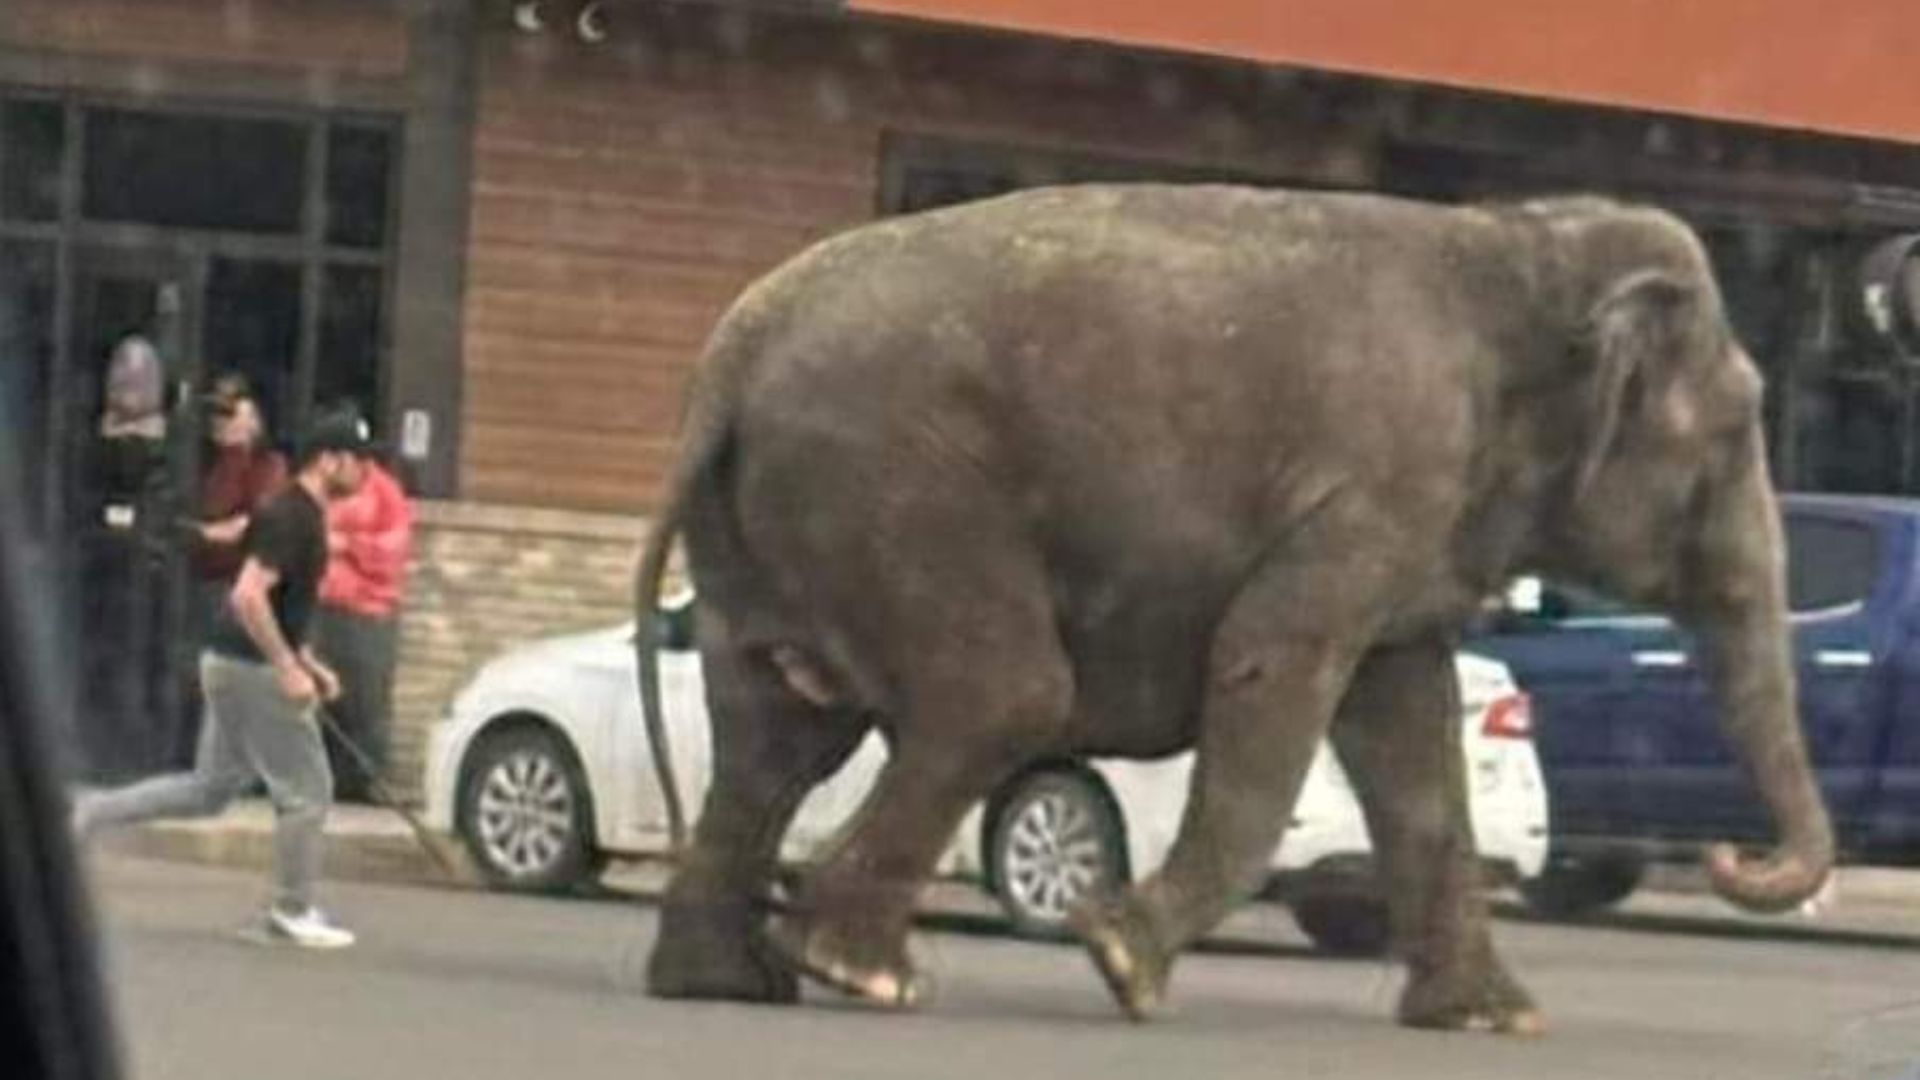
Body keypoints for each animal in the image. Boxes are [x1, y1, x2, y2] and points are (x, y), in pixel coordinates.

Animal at [637, 182, 1835, 1022]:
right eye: (1738, 427)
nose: (1732, 859)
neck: (1520, 248)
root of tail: (731, 359)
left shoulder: (1409, 528)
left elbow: (1407, 730)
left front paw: (1496, 1021)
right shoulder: (1375, 487)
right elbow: (1273, 664)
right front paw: (1121, 959)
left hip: (776, 530)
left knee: (775, 740)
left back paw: (730, 982)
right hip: (899, 489)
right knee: (1003, 697)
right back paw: (862, 975)